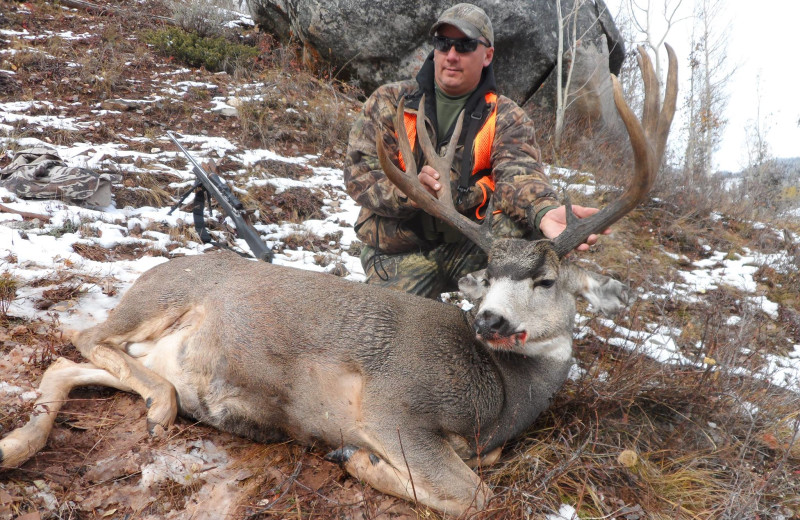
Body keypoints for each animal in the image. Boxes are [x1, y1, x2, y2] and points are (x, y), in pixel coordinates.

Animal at [1, 45, 676, 516]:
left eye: (546, 281)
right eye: (490, 278)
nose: (490, 320)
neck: (503, 397)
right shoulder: (397, 404)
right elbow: (474, 495)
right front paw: (356, 458)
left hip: (150, 348)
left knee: (66, 366)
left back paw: (23, 442)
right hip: (161, 295)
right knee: (90, 338)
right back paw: (156, 411)